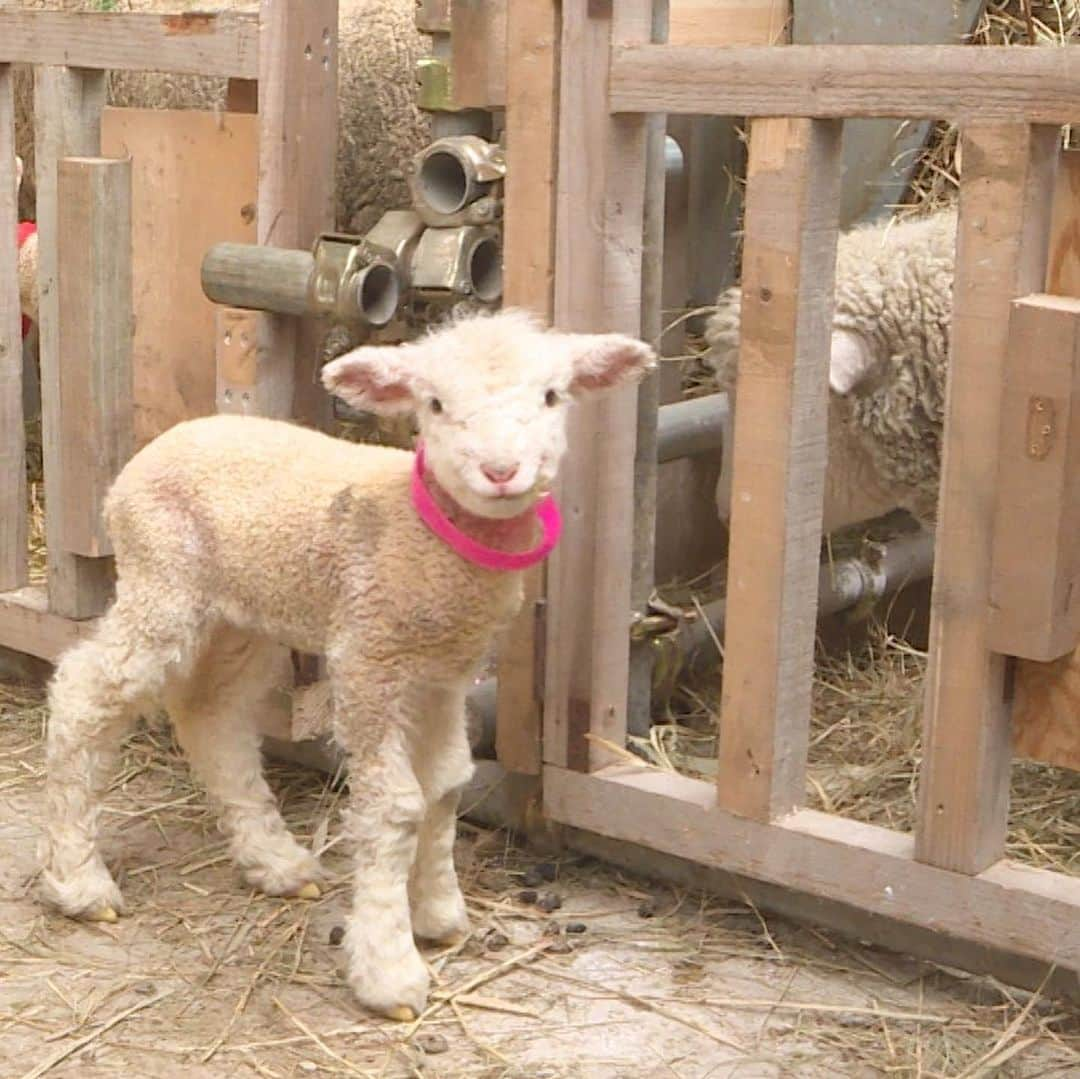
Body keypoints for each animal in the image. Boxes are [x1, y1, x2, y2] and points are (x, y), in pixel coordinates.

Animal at [38, 306, 652, 1019]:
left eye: (552, 396)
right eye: (434, 404)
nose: (501, 471)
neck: (425, 532)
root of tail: (153, 450)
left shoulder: (445, 671)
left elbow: (447, 782)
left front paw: (439, 913)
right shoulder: (368, 658)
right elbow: (396, 806)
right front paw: (389, 968)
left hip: (242, 611)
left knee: (209, 711)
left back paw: (274, 860)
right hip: (162, 581)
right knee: (85, 694)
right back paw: (79, 880)